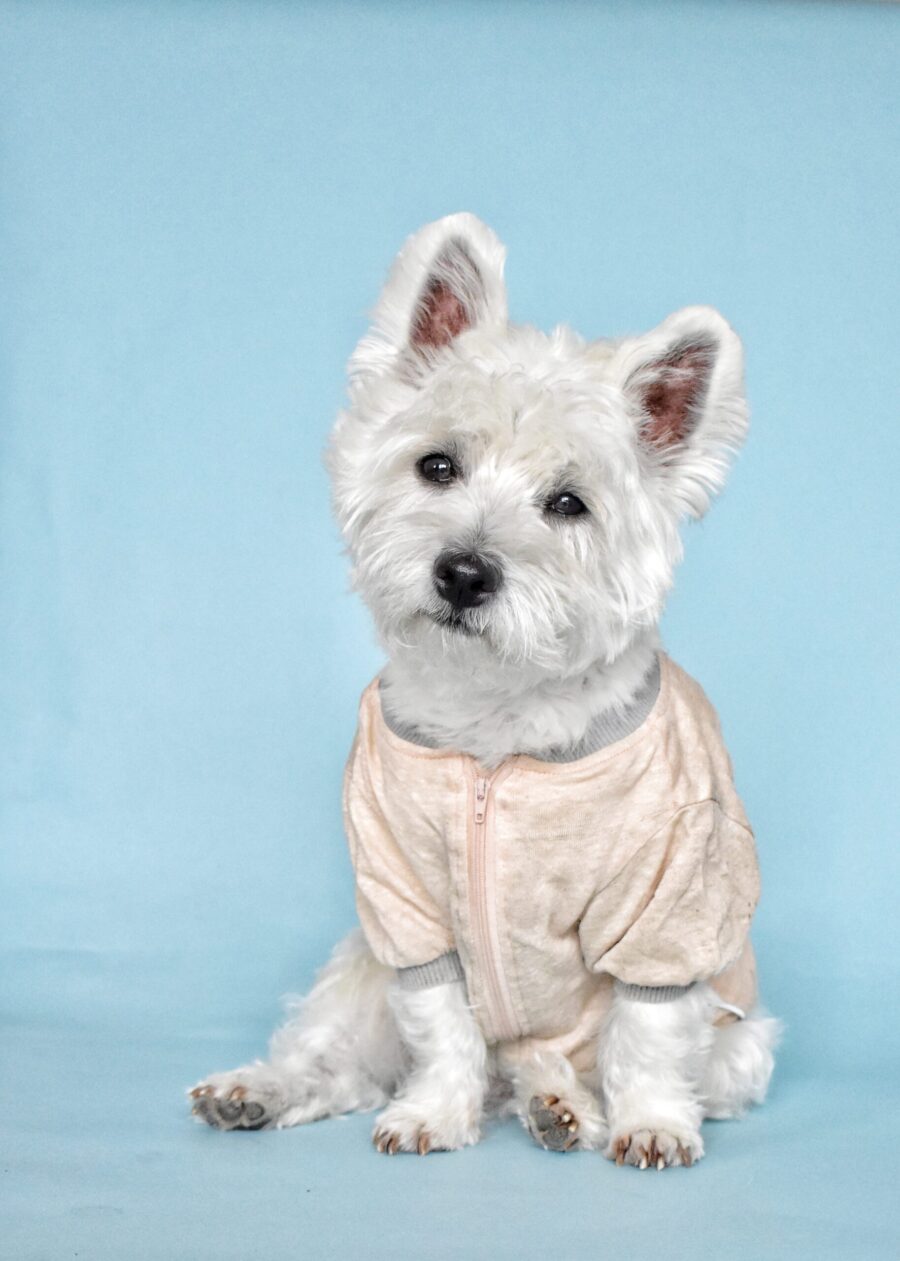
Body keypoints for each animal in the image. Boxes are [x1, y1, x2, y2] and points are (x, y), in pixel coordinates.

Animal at [189, 211, 776, 1165]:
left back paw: (562, 1105)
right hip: (355, 967)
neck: (496, 732)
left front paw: (651, 1123)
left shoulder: (669, 904)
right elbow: (439, 1026)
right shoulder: (404, 902)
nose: (464, 572)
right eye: (437, 465)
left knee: (574, 1062)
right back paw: (256, 1090)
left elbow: (649, 1034)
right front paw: (431, 1112)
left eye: (568, 503)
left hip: (737, 1043)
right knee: (341, 1059)